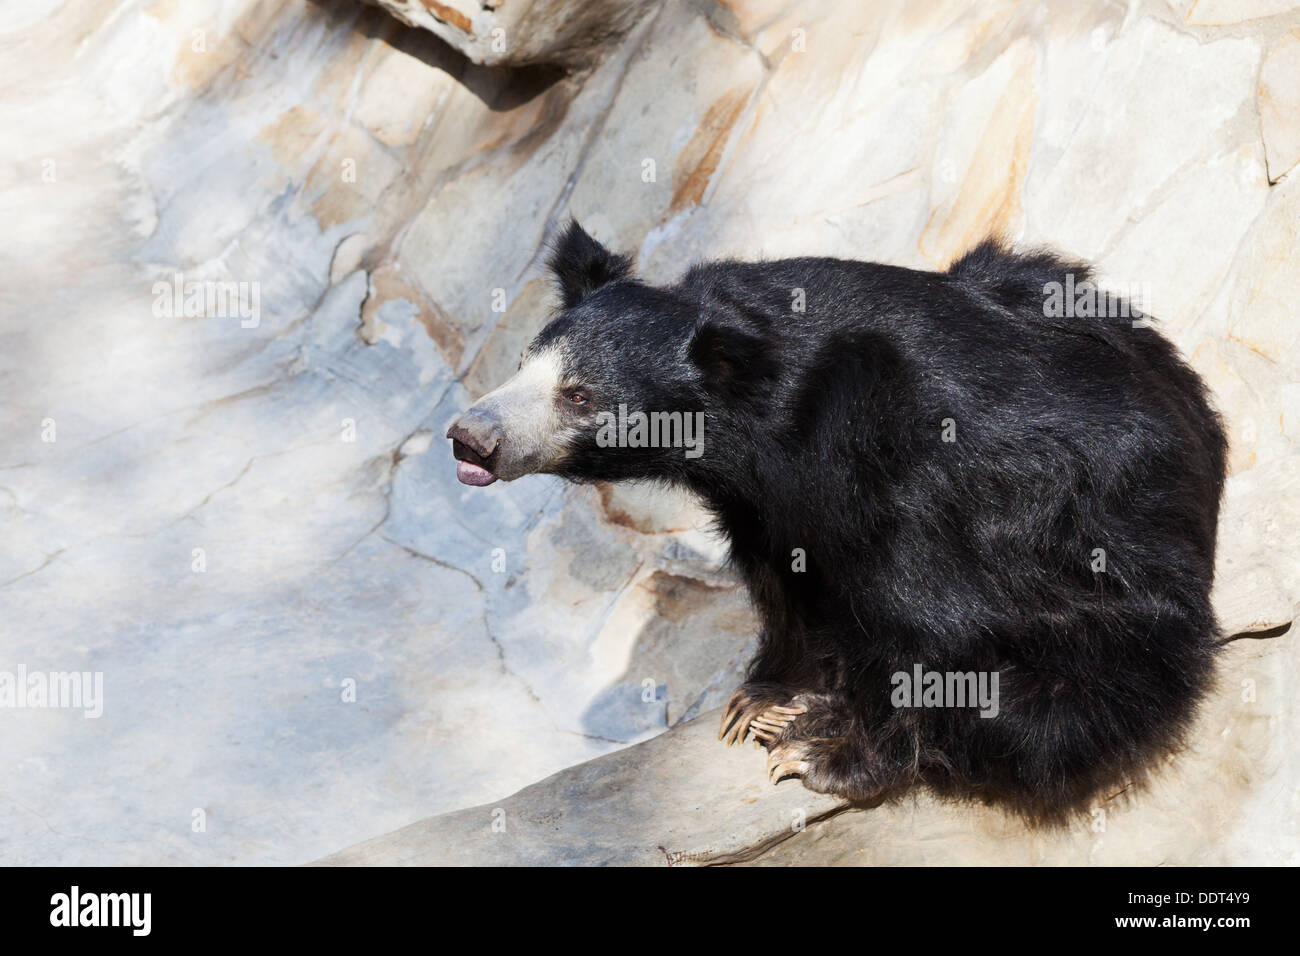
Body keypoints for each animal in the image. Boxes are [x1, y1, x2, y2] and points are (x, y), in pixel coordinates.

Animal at [449, 222, 1227, 822]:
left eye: (578, 395)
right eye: (525, 362)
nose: (469, 438)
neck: (769, 416)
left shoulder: (906, 467)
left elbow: (932, 617)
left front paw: (823, 756)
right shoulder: (765, 497)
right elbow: (783, 571)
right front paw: (763, 700)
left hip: (1111, 603)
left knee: (1052, 710)